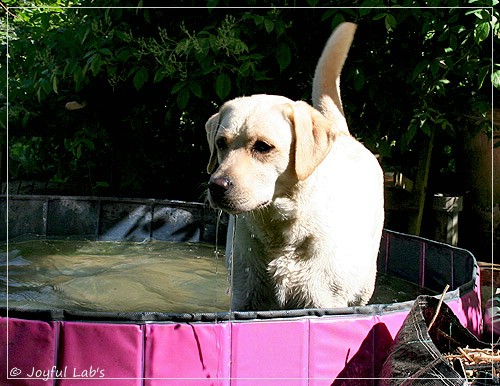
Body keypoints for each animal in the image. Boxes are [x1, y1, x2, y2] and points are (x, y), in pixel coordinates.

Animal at [205, 21, 384, 310]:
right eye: (221, 143)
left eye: (263, 146)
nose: (216, 186)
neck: (280, 233)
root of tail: (342, 133)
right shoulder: (244, 298)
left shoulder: (324, 303)